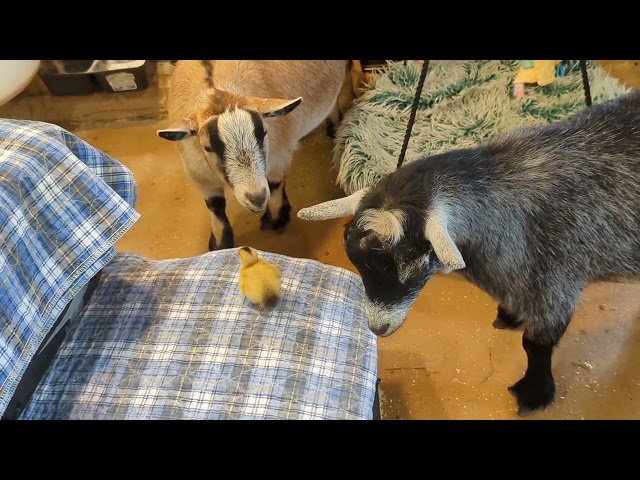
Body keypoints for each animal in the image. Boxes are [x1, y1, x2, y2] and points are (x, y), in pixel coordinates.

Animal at [156, 59, 344, 251]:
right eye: (207, 147)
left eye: (264, 132)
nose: (257, 199)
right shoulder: (199, 176)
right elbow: (216, 207)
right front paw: (220, 244)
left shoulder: (279, 155)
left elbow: (274, 185)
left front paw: (276, 220)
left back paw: (334, 128)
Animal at [298, 90, 640, 416]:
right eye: (357, 263)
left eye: (411, 263)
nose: (377, 329)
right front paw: (510, 315)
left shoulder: (555, 286)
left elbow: (535, 345)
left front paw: (535, 392)